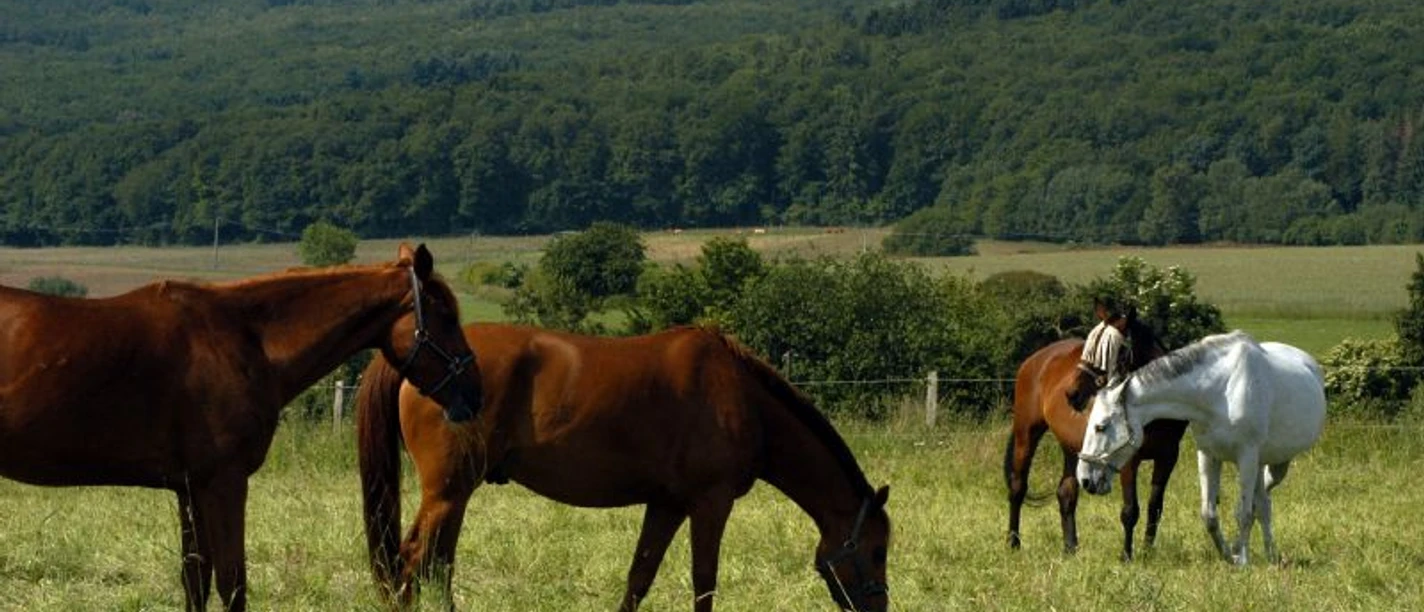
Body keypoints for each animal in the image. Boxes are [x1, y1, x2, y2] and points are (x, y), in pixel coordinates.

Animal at [0, 243, 482, 611]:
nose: (474, 391)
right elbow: (233, 584)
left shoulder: (190, 489)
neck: (247, 339)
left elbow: (195, 579)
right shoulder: (224, 483)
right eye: (446, 315)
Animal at [356, 323, 891, 612]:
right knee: (412, 562)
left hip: (455, 494)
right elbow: (704, 580)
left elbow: (639, 578)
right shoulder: (710, 503)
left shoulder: (666, 505)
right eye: (878, 550)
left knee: (436, 565)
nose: (880, 605)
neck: (742, 398)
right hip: (448, 492)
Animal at [1004, 309, 1189, 560]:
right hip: (1027, 433)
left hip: (1073, 448)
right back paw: (1014, 543)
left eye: (1107, 351)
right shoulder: (1129, 460)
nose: (1072, 393)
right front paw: (1126, 556)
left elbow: (1155, 507)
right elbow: (1130, 510)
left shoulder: (1168, 457)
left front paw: (1147, 552)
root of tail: (1035, 359)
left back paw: (1070, 548)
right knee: (1018, 487)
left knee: (1066, 493)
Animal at [1077, 331, 1326, 565]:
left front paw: (1242, 560)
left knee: (1259, 504)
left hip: (1275, 465)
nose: (1085, 479)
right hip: (1260, 463)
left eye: (1101, 426)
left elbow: (1244, 514)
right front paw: (1229, 555)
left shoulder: (1246, 456)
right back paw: (1270, 555)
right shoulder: (1208, 455)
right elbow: (1210, 515)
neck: (1220, 391)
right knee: (1263, 505)